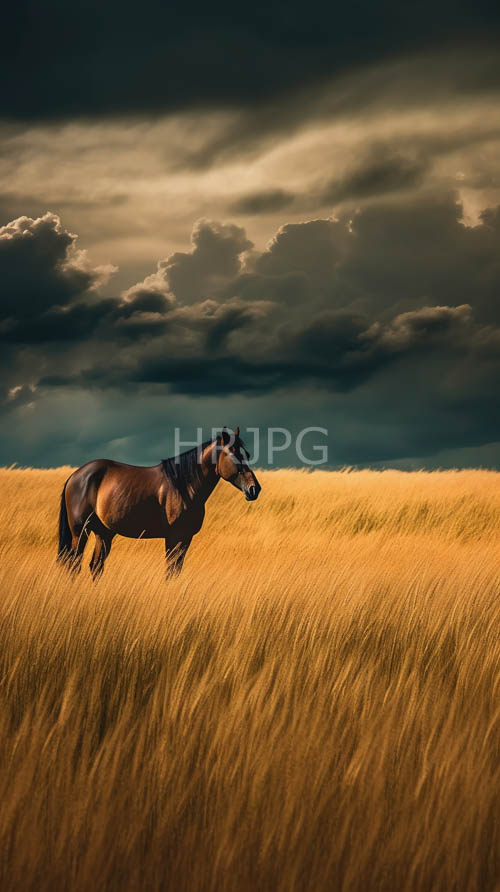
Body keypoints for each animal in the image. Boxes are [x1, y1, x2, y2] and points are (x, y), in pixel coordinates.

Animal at [57, 427, 261, 578]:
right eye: (234, 456)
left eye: (247, 454)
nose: (254, 489)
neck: (184, 486)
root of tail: (75, 476)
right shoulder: (173, 537)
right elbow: (170, 571)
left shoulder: (186, 538)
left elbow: (176, 571)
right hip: (80, 532)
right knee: (74, 564)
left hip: (104, 533)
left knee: (96, 566)